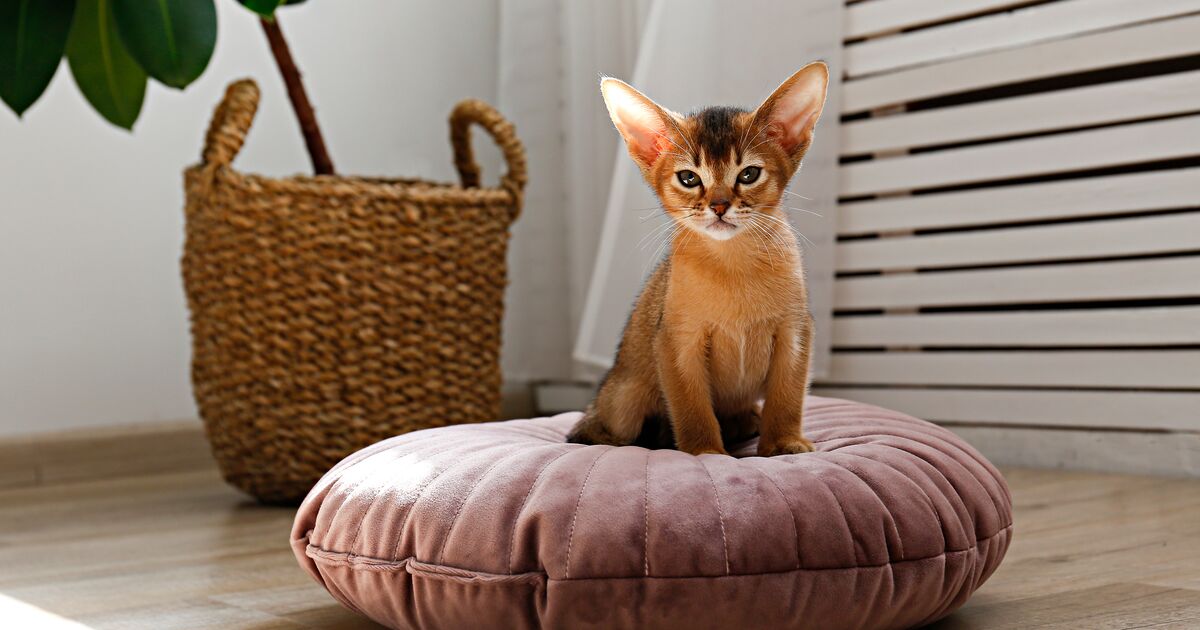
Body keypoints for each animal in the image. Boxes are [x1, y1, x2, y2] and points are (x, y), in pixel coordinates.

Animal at [566, 63, 830, 453]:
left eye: (749, 174)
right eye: (689, 178)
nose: (719, 206)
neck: (733, 264)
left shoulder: (795, 332)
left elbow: (787, 396)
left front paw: (784, 442)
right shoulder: (677, 341)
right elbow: (692, 407)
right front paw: (705, 451)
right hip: (625, 396)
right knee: (593, 432)